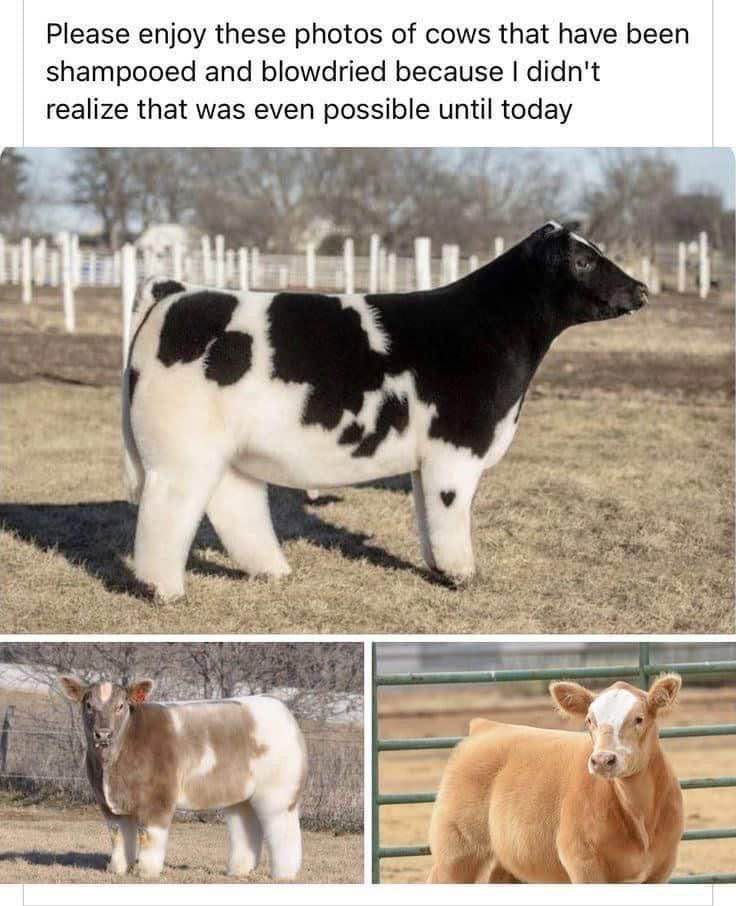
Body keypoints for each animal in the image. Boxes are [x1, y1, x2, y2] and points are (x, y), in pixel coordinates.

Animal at [59, 676, 307, 880]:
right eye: (88, 705)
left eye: (120, 706)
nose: (103, 734)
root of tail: (280, 708)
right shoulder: (109, 805)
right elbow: (118, 837)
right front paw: (118, 869)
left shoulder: (158, 799)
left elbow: (149, 837)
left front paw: (146, 872)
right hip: (242, 796)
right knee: (245, 827)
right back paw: (238, 871)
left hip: (278, 793)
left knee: (283, 830)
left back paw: (283, 874)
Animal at [122, 221, 647, 600]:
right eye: (583, 259)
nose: (641, 289)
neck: (487, 329)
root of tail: (177, 291)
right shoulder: (456, 449)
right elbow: (451, 514)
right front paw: (463, 576)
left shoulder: (427, 459)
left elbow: (427, 517)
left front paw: (438, 569)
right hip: (180, 452)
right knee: (167, 511)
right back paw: (165, 591)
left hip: (228, 452)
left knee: (234, 504)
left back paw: (272, 571)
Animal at [427, 674, 684, 883]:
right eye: (589, 720)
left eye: (639, 719)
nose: (602, 760)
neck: (638, 816)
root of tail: (487, 727)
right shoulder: (583, 862)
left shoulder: (661, 869)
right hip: (455, 851)